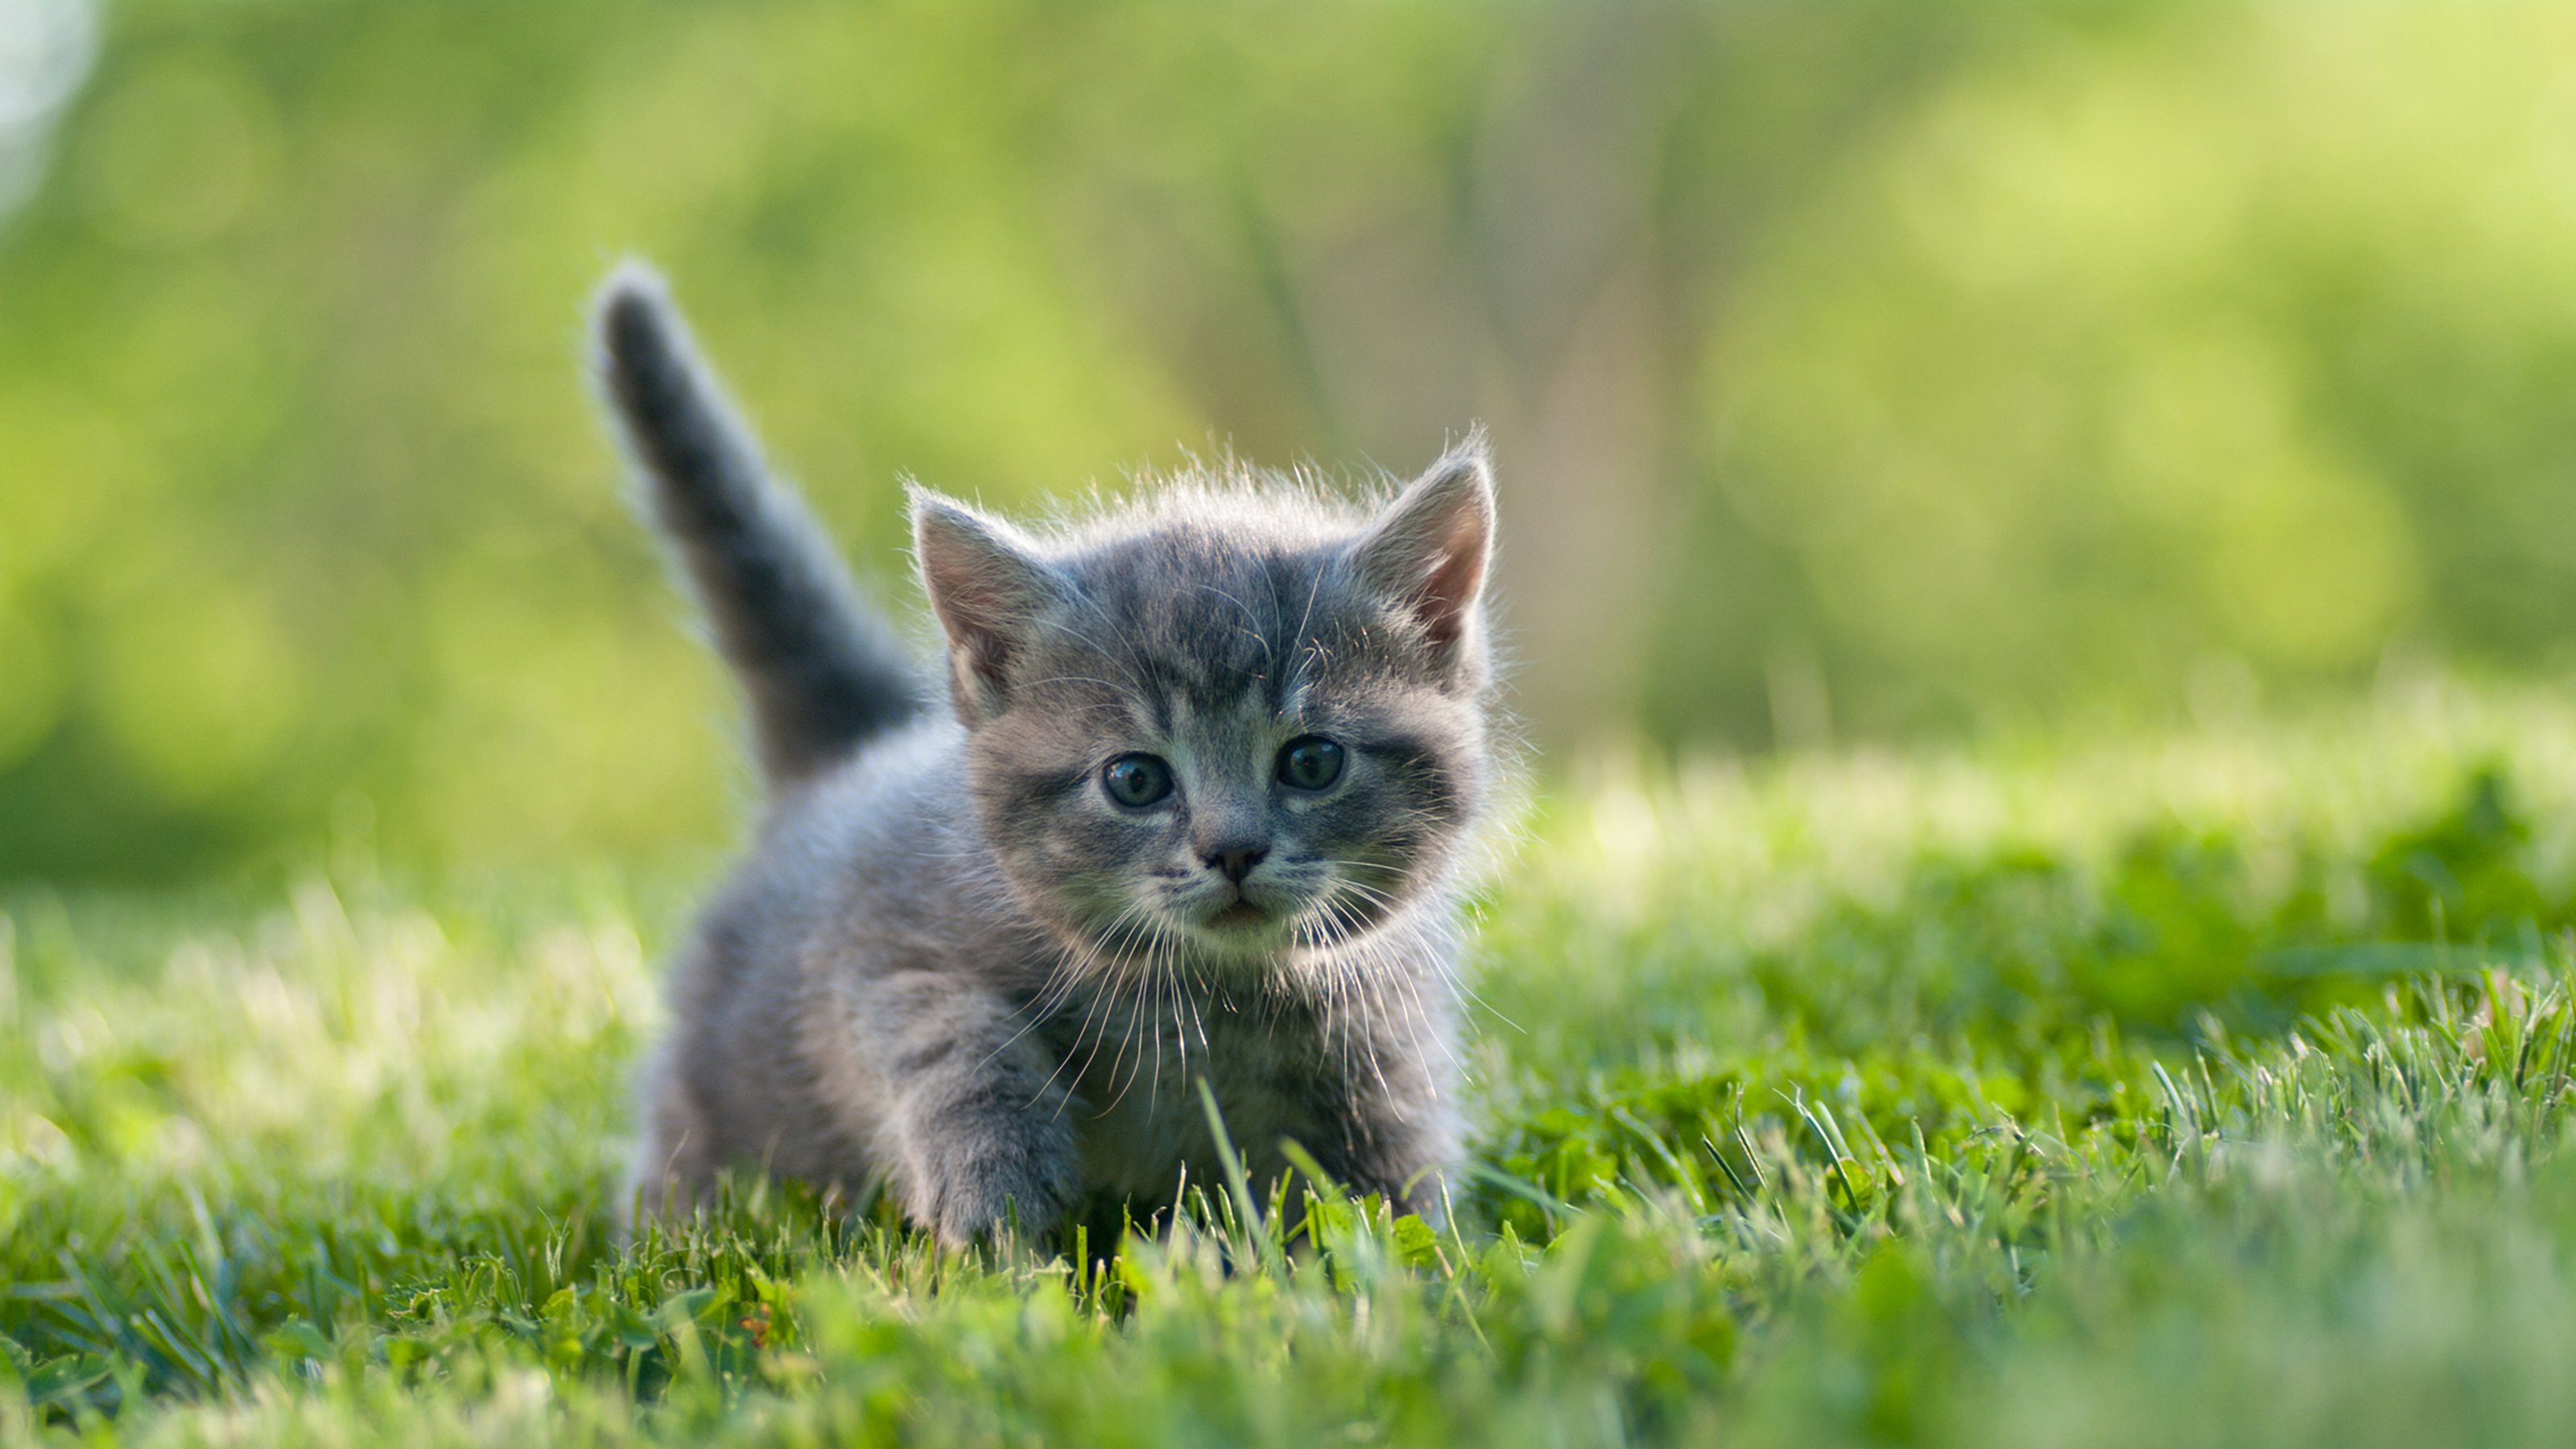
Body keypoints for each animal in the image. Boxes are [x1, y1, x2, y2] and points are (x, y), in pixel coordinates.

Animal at [589, 258, 1504, 1242]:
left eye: (1311, 762)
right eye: (1135, 780)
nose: (1231, 850)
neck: (1207, 1001)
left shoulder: (1382, 1042)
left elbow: (1388, 1190)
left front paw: (1403, 1256)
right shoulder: (877, 959)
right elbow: (952, 1044)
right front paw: (992, 1199)